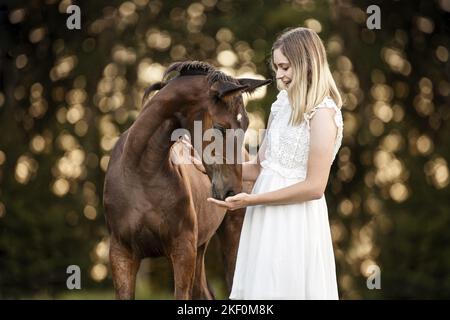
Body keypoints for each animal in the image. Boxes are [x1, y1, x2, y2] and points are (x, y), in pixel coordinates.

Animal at [103, 61, 270, 298]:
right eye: (220, 127)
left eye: (245, 125)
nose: (232, 192)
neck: (140, 171)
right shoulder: (121, 254)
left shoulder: (183, 251)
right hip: (200, 250)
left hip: (230, 239)